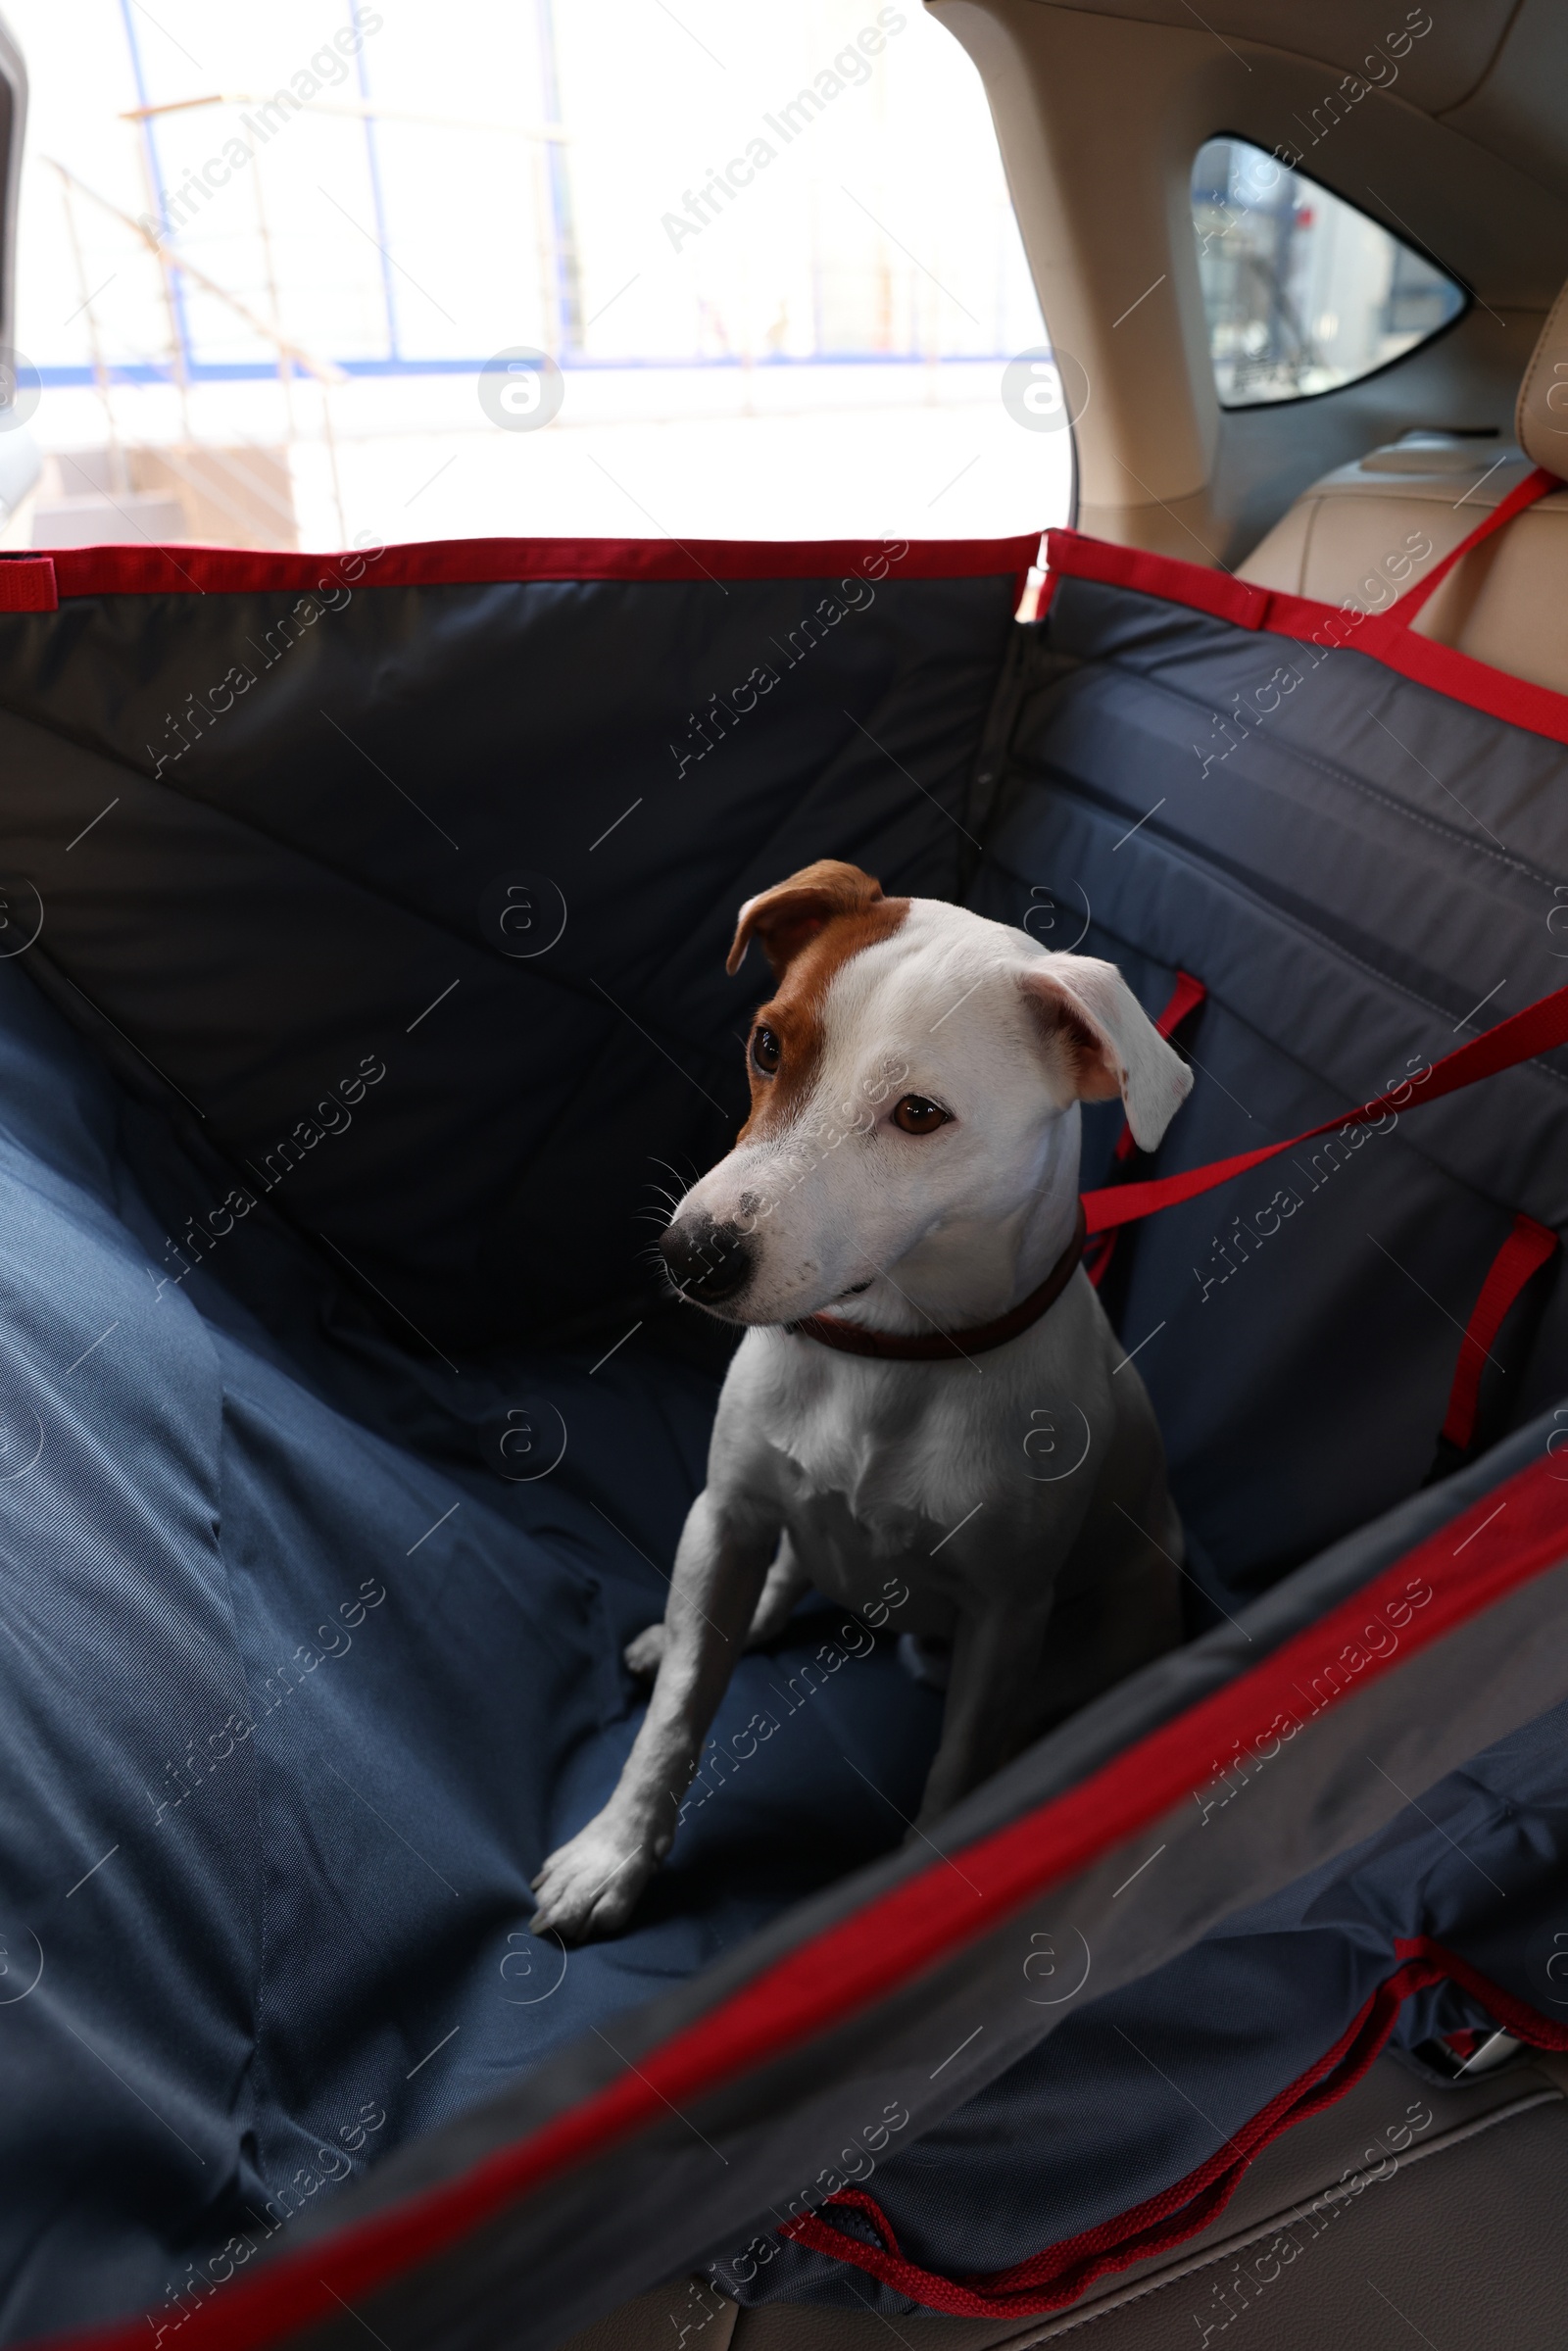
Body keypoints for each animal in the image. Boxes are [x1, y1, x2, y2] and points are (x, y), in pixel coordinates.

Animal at [533, 856, 1194, 1936]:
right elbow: (675, 1718)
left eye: (919, 1113)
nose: (692, 1254)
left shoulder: (1006, 1614)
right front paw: (612, 1853)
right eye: (767, 1044)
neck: (891, 1353)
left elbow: (957, 1773)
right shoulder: (729, 1511)